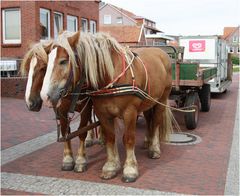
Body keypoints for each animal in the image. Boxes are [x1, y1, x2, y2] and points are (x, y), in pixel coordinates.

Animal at [20, 38, 98, 173]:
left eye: (43, 68)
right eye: (28, 68)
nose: (30, 103)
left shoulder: (86, 107)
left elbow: (81, 131)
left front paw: (80, 160)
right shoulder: (61, 110)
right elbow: (65, 130)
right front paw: (67, 158)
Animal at [40, 31, 173, 182]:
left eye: (63, 61)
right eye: (46, 63)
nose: (45, 96)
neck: (111, 78)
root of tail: (161, 53)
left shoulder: (130, 112)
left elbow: (129, 139)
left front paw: (130, 169)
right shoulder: (103, 113)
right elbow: (110, 138)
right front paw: (111, 166)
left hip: (162, 100)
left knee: (155, 122)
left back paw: (154, 148)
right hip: (148, 103)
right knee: (149, 120)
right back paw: (147, 141)